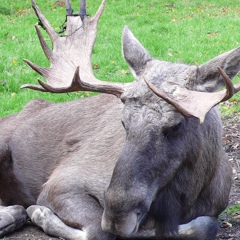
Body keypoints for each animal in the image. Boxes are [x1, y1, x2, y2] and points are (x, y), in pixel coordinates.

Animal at [0, 0, 240, 239]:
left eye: (176, 125)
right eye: (123, 122)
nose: (117, 217)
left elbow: (204, 225)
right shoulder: (61, 183)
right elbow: (98, 231)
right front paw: (39, 213)